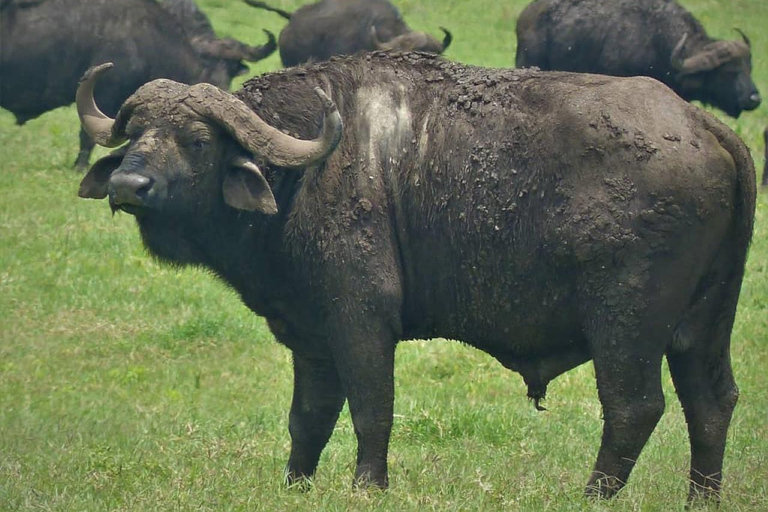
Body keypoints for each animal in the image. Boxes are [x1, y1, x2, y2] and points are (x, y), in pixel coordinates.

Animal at [75, 53, 752, 504]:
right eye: (136, 133)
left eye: (195, 140)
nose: (127, 185)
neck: (306, 174)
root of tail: (702, 125)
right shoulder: (311, 337)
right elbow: (308, 416)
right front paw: (296, 485)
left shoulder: (362, 322)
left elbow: (372, 408)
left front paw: (367, 486)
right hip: (703, 328)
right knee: (711, 403)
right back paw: (702, 498)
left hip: (625, 324)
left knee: (634, 407)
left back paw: (591, 496)